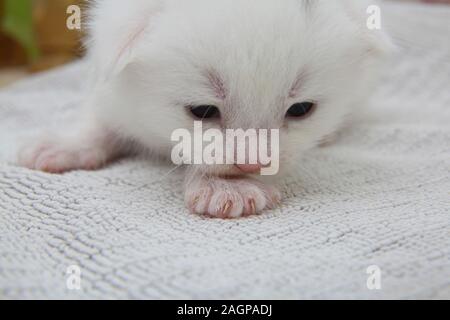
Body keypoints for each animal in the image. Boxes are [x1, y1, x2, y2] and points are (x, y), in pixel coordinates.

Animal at [18, 0, 390, 218]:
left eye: (300, 109)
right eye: (202, 111)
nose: (251, 165)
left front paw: (226, 188)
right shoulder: (112, 92)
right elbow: (100, 121)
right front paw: (66, 145)